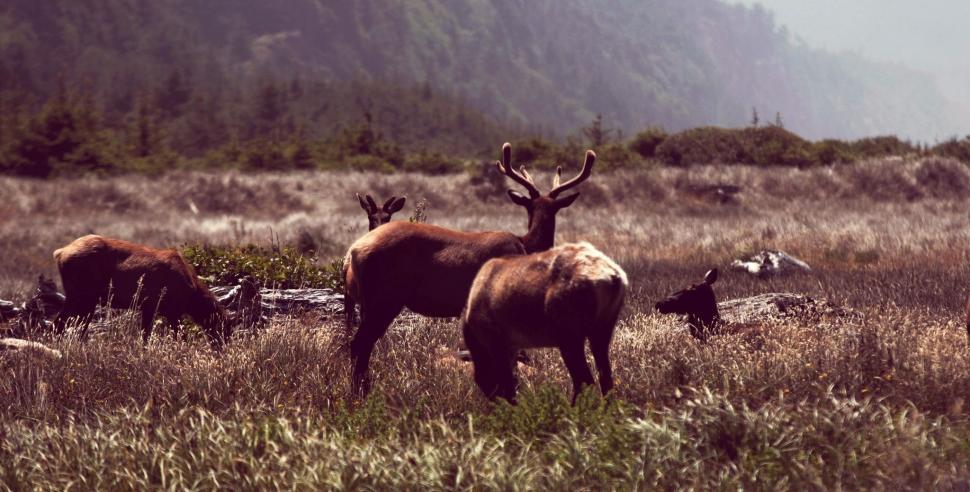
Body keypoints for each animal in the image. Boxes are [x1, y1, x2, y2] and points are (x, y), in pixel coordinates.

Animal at [52, 235, 231, 349]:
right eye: (223, 329)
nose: (222, 350)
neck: (191, 295)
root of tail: (60, 252)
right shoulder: (171, 310)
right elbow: (178, 337)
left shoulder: (150, 307)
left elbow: (145, 336)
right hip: (82, 294)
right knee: (61, 324)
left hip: (83, 297)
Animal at [461, 242, 627, 403]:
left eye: (482, 379)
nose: (495, 401)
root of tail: (613, 277)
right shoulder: (510, 348)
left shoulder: (496, 342)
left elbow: (508, 385)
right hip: (602, 331)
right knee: (606, 380)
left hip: (570, 337)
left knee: (584, 381)